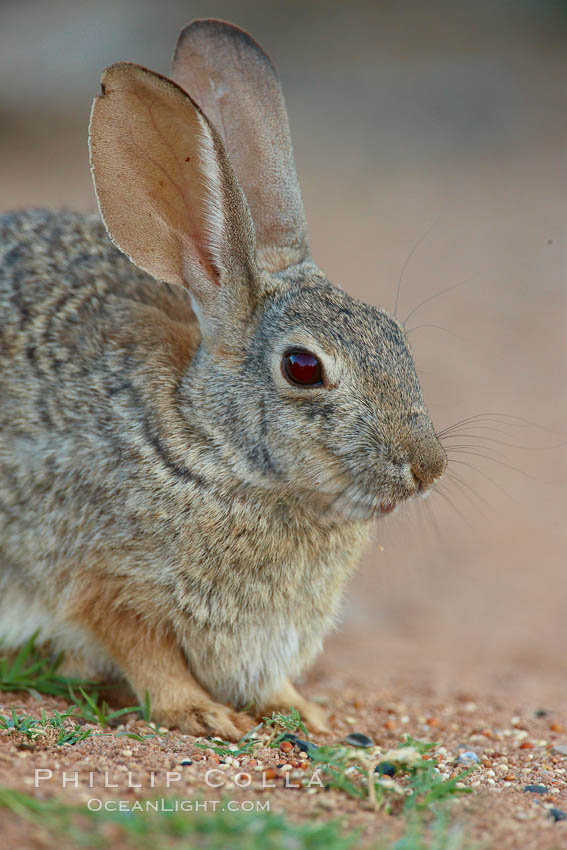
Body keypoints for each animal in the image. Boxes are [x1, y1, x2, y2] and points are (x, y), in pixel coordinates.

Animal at [0, 18, 446, 736]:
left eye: (393, 336)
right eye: (303, 367)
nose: (426, 467)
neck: (210, 444)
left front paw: (307, 714)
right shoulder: (102, 582)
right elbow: (144, 652)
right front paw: (202, 714)